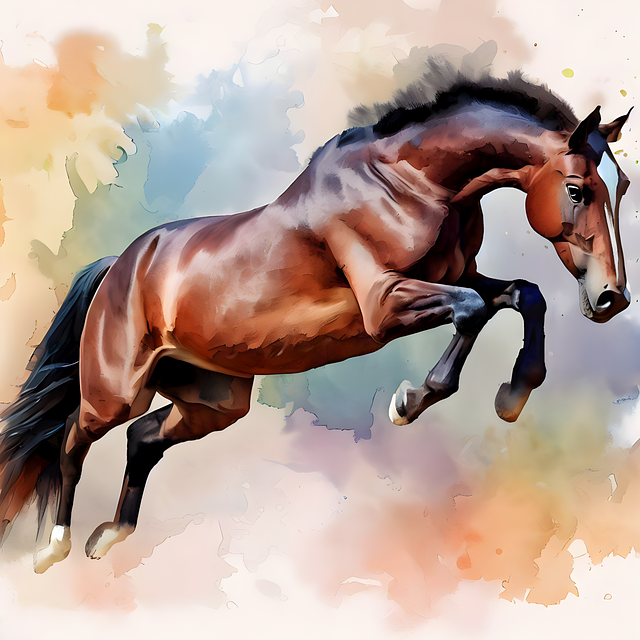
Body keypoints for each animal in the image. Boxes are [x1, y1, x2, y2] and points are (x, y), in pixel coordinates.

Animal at [0, 72, 632, 573]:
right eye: (576, 189)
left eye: (621, 186)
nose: (612, 298)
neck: (412, 183)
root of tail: (121, 263)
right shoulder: (383, 304)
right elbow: (473, 312)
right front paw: (411, 401)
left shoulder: (464, 275)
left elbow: (524, 296)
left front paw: (513, 394)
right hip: (114, 390)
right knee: (73, 439)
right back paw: (53, 548)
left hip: (214, 400)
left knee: (143, 438)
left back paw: (112, 535)